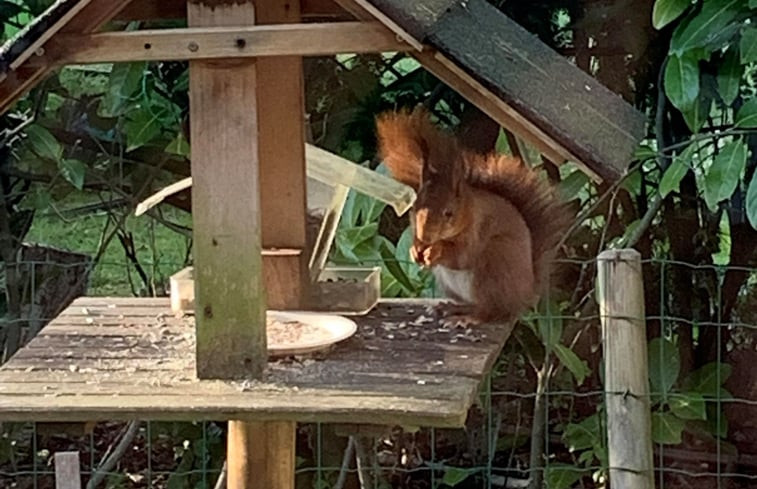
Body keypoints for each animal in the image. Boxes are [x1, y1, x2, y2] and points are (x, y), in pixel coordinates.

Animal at [376, 107, 568, 324]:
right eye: (415, 206)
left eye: (449, 213)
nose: (426, 237)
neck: (467, 210)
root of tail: (524, 296)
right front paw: (415, 250)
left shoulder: (477, 229)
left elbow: (462, 256)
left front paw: (434, 251)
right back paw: (450, 308)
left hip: (494, 265)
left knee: (488, 311)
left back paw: (468, 318)